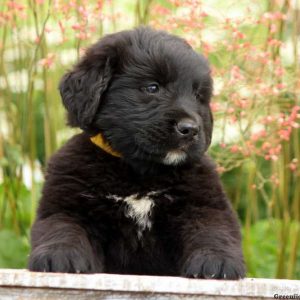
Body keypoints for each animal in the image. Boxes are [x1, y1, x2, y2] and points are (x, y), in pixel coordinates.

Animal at [28, 26, 245, 278]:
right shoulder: (66, 204)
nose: (190, 129)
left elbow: (212, 231)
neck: (138, 172)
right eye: (152, 87)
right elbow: (62, 227)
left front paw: (216, 262)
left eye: (198, 96)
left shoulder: (203, 204)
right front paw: (59, 256)